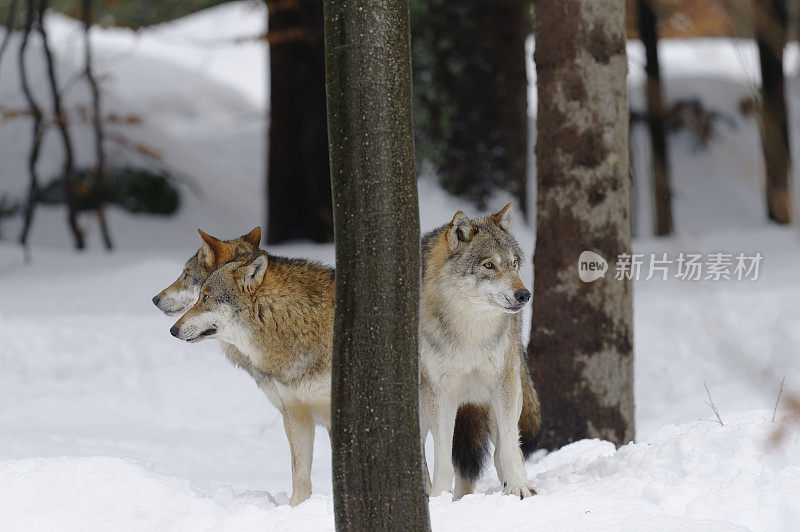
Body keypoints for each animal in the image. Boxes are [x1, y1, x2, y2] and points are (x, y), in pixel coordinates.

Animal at [418, 203, 544, 498]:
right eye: (489, 265)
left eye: (514, 264)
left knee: (508, 449)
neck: (471, 332)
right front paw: (440, 500)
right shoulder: (441, 392)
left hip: (508, 395)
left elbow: (508, 448)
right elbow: (442, 461)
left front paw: (518, 487)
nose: (524, 295)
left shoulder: (504, 382)